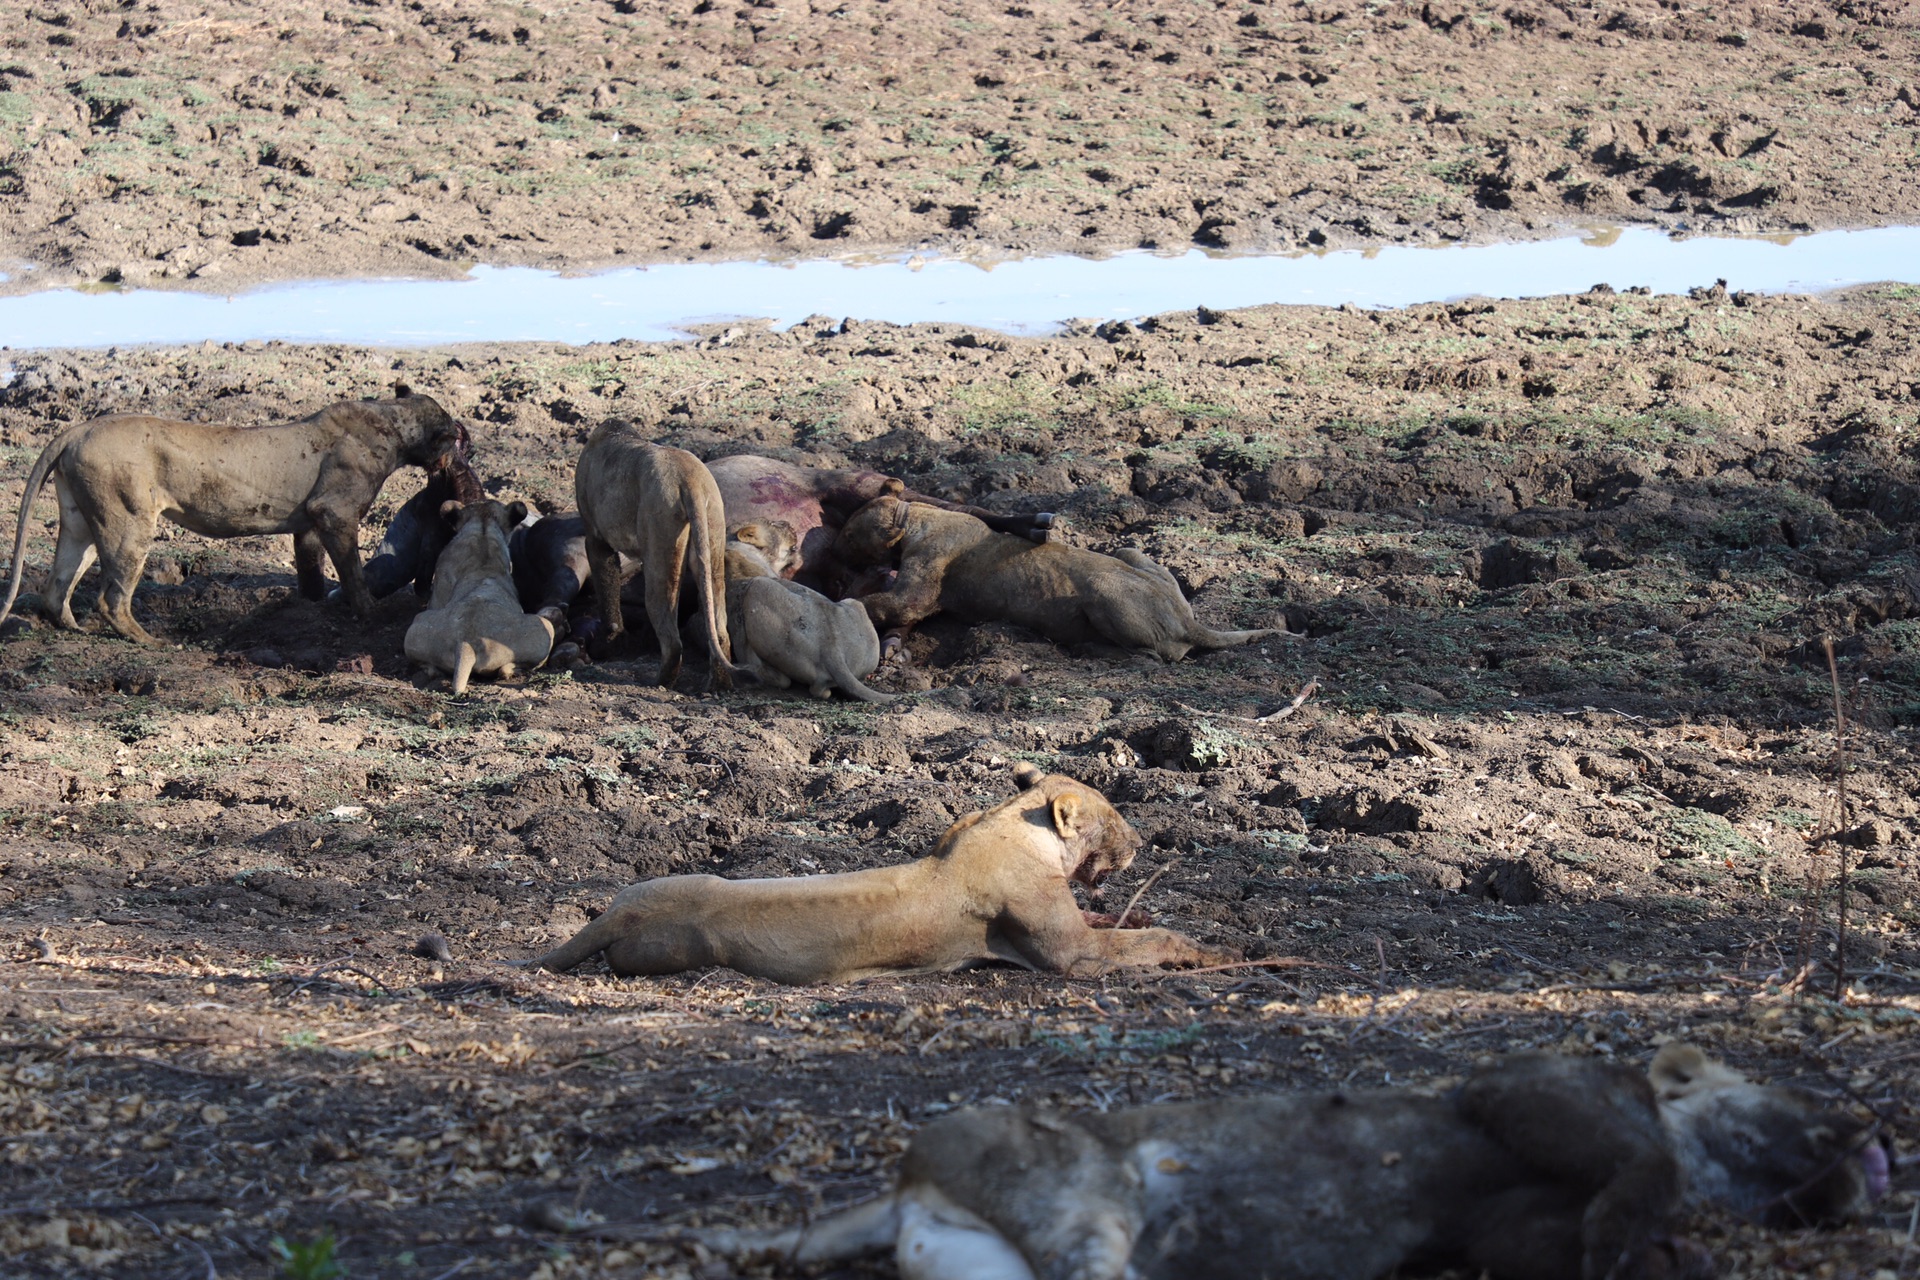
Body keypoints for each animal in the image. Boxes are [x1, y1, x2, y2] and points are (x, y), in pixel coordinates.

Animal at [0, 379, 460, 640]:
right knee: (111, 599)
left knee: (55, 586)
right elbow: (353, 571)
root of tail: (78, 428)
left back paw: (72, 629)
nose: (460, 440)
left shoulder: (310, 520)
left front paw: (308, 609)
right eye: (452, 435)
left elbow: (310, 569)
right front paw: (368, 613)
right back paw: (152, 642)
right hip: (128, 521)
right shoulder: (334, 511)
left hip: (81, 521)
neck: (395, 423)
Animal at [533, 767, 1236, 990]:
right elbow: (1148, 942)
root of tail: (617, 914)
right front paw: (1217, 952)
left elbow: (1121, 921)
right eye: (1113, 816)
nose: (1141, 843)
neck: (1014, 824)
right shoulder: (1070, 955)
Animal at [837, 498, 1274, 667]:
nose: (836, 551)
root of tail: (1189, 621)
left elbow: (889, 603)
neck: (911, 517)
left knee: (1151, 656)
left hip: (1104, 592)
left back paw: (1087, 648)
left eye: (849, 535)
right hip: (1130, 551)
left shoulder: (922, 581)